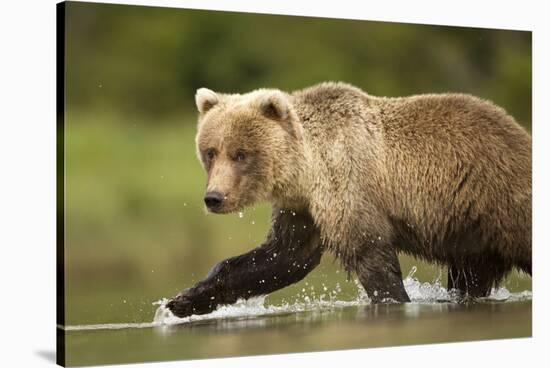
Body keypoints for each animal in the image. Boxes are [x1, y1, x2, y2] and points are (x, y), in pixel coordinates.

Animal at [166, 82, 532, 318]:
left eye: (241, 154)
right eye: (210, 151)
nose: (214, 197)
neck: (305, 170)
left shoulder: (346, 184)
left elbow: (369, 254)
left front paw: (394, 299)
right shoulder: (302, 208)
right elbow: (282, 257)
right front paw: (183, 300)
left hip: (500, 200)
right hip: (472, 233)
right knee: (470, 276)